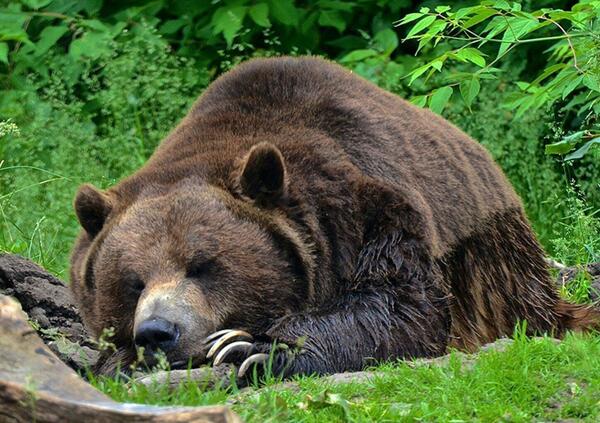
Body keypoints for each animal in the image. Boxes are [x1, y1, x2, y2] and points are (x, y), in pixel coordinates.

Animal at [70, 55, 600, 378]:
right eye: (133, 281)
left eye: (203, 265)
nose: (157, 332)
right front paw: (120, 360)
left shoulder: (367, 210)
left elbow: (401, 305)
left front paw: (251, 347)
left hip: (494, 263)